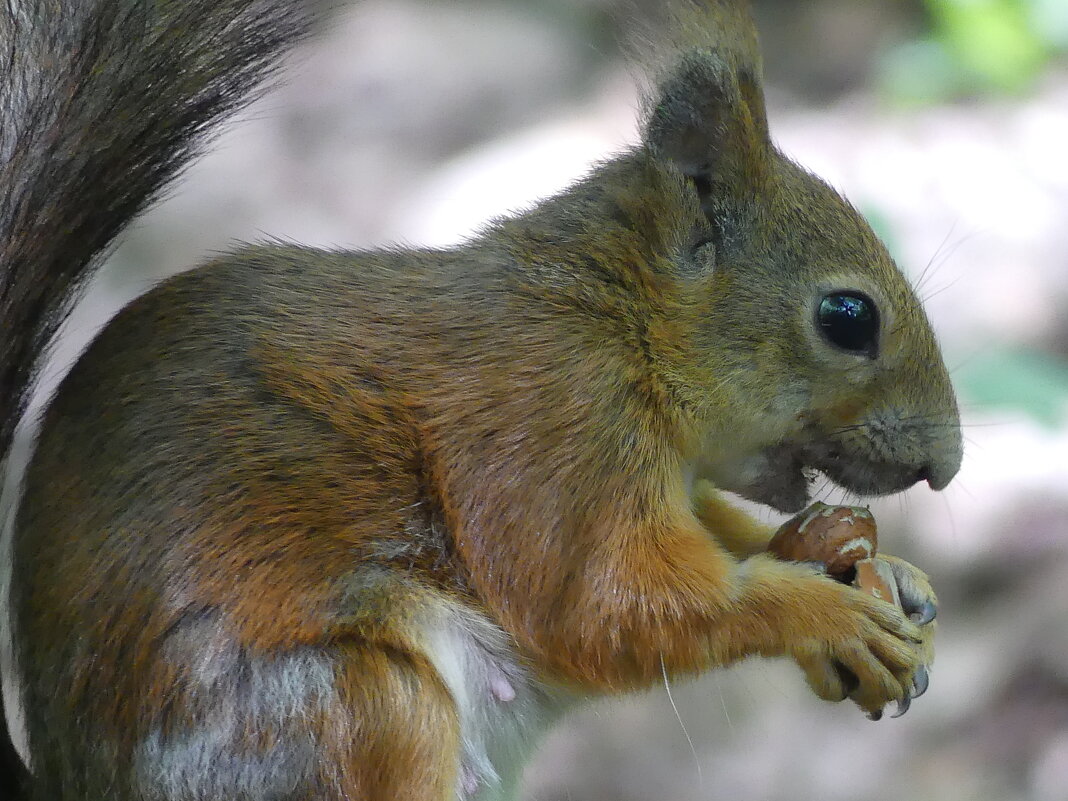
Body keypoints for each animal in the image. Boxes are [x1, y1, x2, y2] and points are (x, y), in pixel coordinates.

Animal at [0, 1, 965, 801]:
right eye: (847, 318)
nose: (946, 466)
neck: (620, 323)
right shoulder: (553, 421)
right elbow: (606, 607)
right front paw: (824, 612)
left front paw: (847, 553)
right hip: (341, 710)